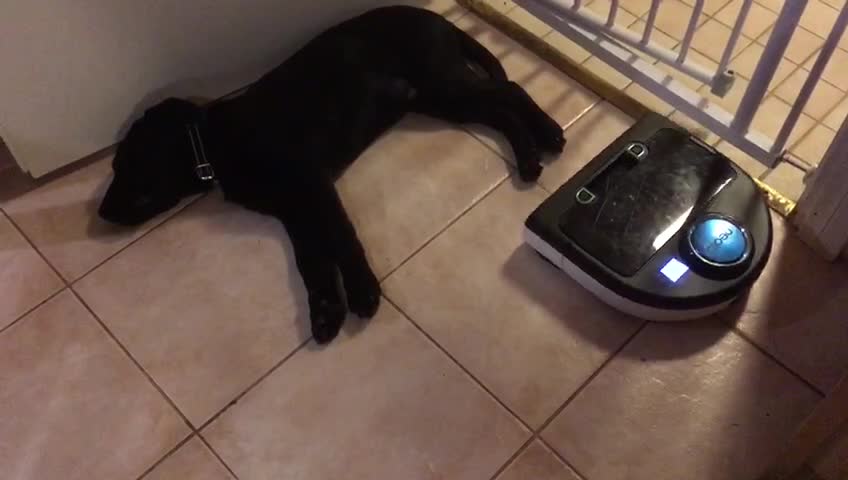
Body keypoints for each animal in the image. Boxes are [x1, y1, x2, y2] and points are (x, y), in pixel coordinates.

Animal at [97, 6, 564, 344]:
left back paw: (549, 134)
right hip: (437, 99)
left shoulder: (313, 186)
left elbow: (341, 238)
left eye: (123, 166)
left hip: (442, 81)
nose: (100, 213)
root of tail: (436, 17)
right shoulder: (293, 210)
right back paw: (528, 157)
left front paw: (362, 293)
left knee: (510, 92)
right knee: (499, 111)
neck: (217, 142)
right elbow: (312, 260)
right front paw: (325, 311)